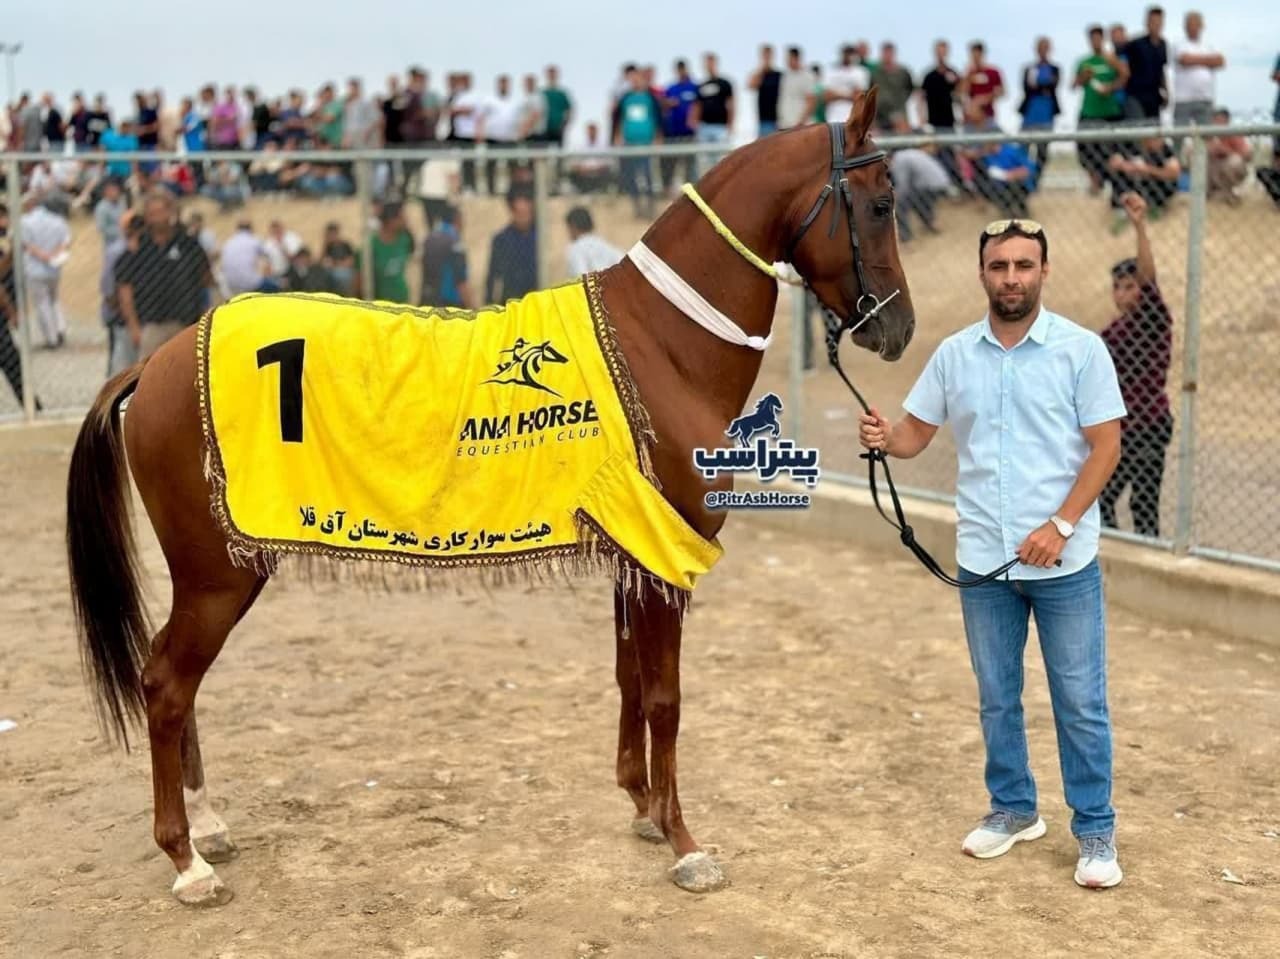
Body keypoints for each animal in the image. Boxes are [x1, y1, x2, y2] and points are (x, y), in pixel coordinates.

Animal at [67, 85, 911, 901]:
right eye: (879, 204)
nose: (896, 328)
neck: (660, 344)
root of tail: (157, 363)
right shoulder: (663, 561)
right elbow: (666, 697)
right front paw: (685, 843)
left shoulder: (633, 556)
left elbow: (630, 677)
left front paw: (642, 806)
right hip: (218, 575)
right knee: (165, 683)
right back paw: (187, 860)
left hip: (219, 573)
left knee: (179, 683)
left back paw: (207, 826)